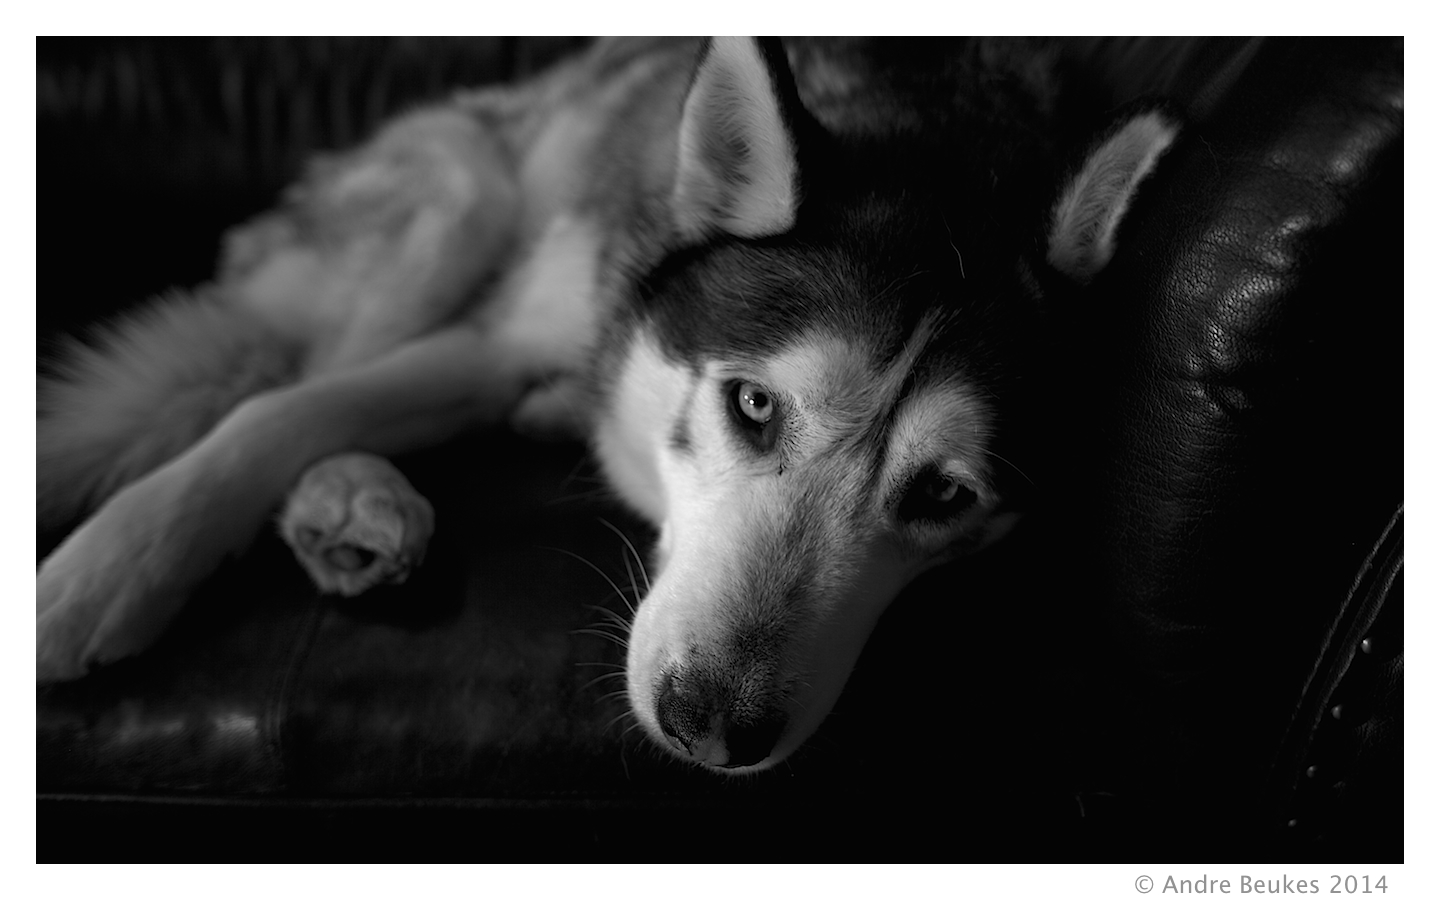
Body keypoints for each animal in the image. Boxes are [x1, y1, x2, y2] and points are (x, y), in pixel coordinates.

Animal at [37, 37, 1177, 773]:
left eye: (944, 495)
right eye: (754, 406)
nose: (710, 722)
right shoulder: (499, 336)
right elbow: (280, 417)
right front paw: (108, 568)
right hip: (461, 190)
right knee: (291, 372)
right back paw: (350, 501)